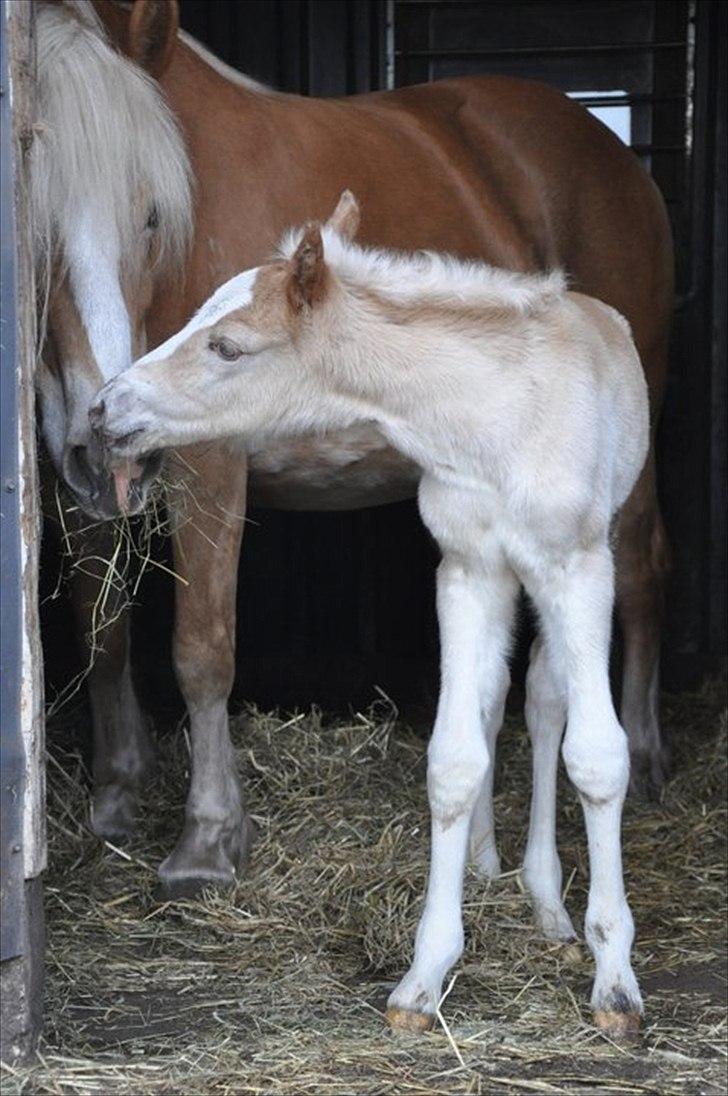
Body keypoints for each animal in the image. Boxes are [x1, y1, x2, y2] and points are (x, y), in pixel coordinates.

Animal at [35, 2, 670, 898]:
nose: (102, 427)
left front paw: (208, 839)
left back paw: (645, 753)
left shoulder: (208, 466)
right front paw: (118, 791)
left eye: (155, 215)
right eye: (29, 225)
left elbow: (202, 649)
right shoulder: (72, 476)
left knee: (645, 572)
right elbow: (105, 632)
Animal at [89, 192, 649, 1039]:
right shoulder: (466, 567)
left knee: (549, 701)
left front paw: (614, 981)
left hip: (584, 557)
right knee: (498, 702)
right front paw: (423, 979)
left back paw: (548, 902)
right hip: (505, 580)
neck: (494, 418)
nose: (104, 410)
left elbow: (597, 756)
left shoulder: (579, 567)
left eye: (226, 346)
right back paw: (491, 867)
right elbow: (453, 758)